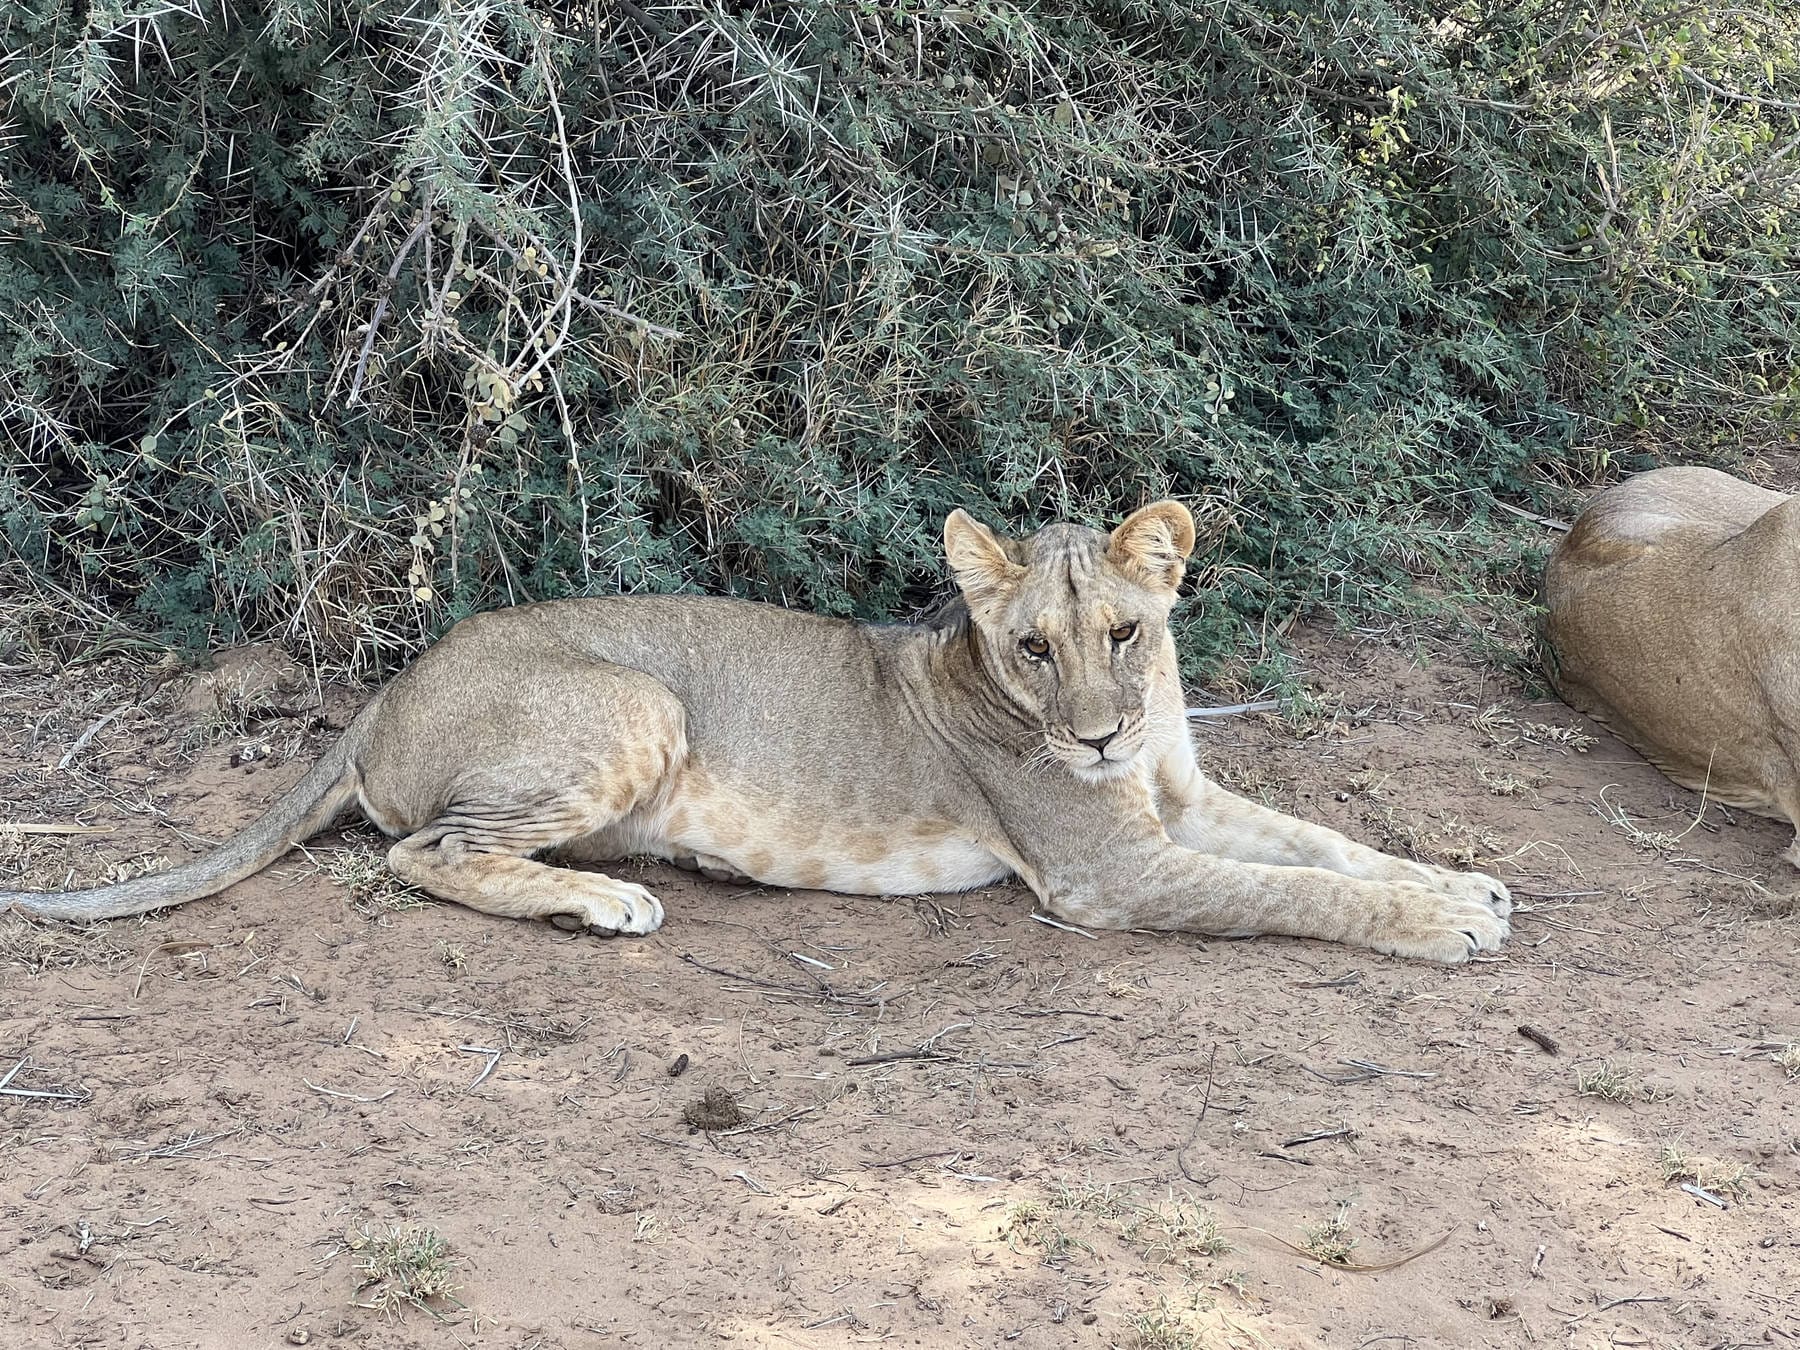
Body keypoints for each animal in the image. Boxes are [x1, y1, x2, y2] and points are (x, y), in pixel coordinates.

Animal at [3, 501, 1510, 962]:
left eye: (1126, 633)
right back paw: (607, 901)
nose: (1088, 739)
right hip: (637, 702)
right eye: (1035, 648)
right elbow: (1287, 891)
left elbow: (1321, 841)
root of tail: (385, 689)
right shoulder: (1109, 871)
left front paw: (1462, 882)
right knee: (422, 853)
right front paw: (1444, 924)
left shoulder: (1178, 801)